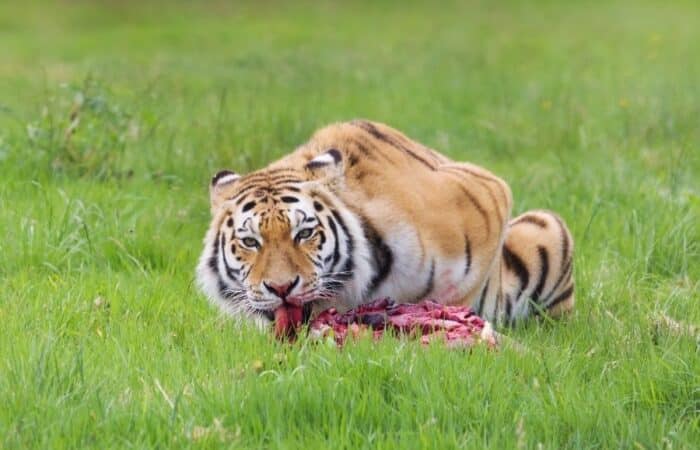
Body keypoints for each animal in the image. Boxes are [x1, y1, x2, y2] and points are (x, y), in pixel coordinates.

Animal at [196, 120, 574, 328]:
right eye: (250, 242)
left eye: (304, 233)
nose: (281, 288)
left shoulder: (485, 190)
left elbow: (464, 288)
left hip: (546, 227)